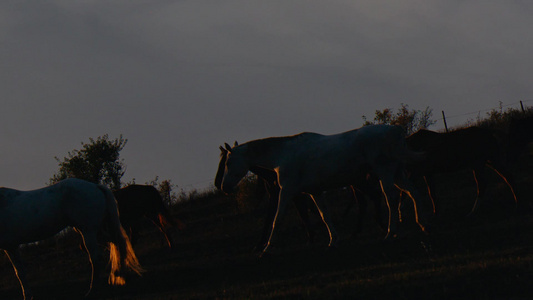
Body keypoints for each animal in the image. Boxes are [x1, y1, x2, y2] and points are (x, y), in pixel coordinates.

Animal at [0, 178, 143, 300]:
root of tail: (96, 186)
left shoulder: (11, 246)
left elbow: (19, 273)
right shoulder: (11, 247)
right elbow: (20, 272)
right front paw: (28, 296)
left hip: (88, 232)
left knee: (96, 258)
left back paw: (92, 290)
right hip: (95, 231)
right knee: (118, 244)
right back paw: (120, 276)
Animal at [218, 125, 426, 255]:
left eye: (228, 162)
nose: (224, 187)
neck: (283, 155)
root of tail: (395, 130)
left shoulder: (287, 191)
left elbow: (277, 218)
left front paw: (266, 248)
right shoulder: (315, 192)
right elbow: (325, 216)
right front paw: (333, 241)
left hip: (385, 173)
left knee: (391, 199)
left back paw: (390, 233)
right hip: (398, 174)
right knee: (414, 193)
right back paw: (421, 225)